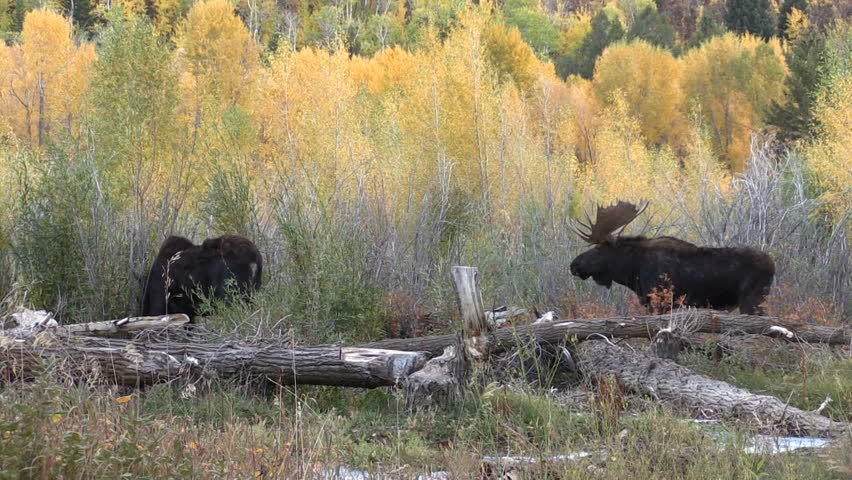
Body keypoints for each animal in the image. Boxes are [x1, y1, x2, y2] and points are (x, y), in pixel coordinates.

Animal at [569, 200, 775, 315]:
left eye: (598, 250)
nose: (573, 265)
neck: (633, 271)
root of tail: (773, 265)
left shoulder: (659, 302)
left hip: (753, 300)